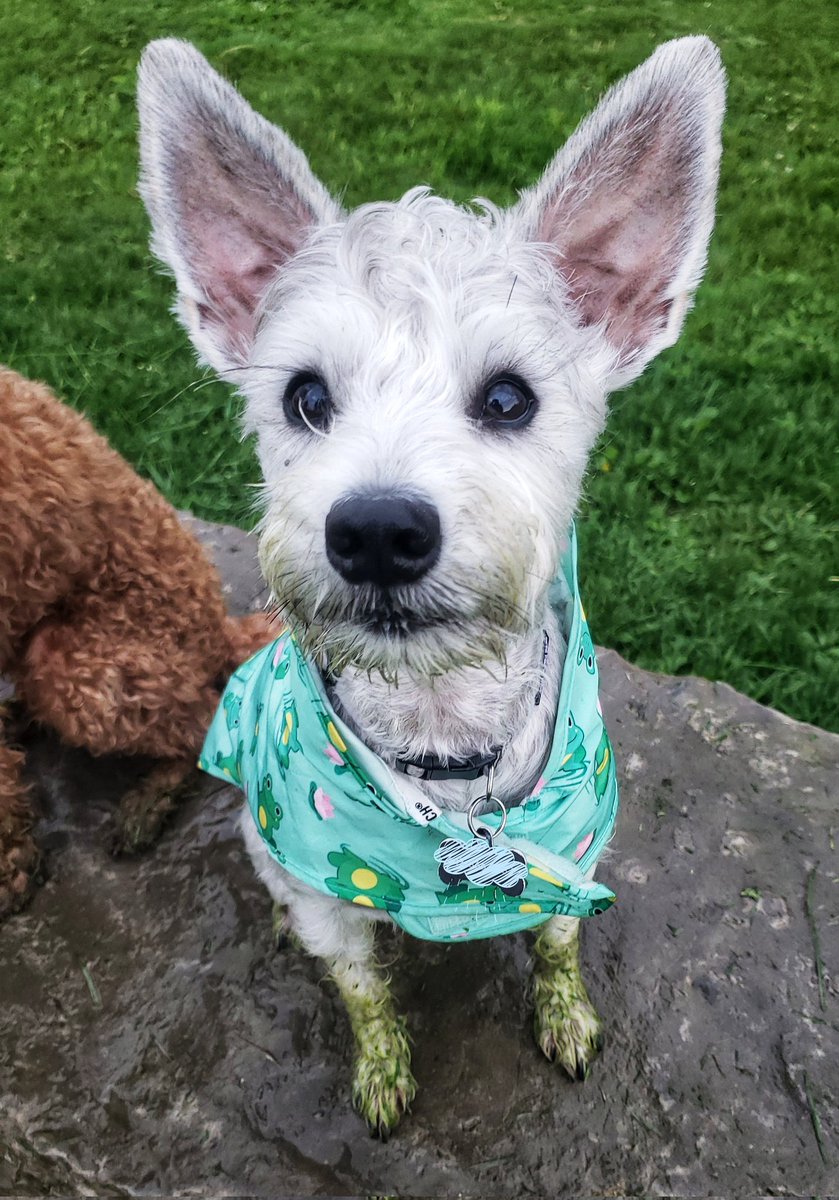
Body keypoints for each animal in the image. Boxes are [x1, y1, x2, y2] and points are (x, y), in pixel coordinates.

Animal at [136, 37, 720, 1132]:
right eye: (304, 396)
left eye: (509, 397)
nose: (374, 530)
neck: (448, 754)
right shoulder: (331, 900)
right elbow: (361, 986)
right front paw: (380, 1069)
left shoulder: (574, 855)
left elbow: (559, 940)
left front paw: (565, 1016)